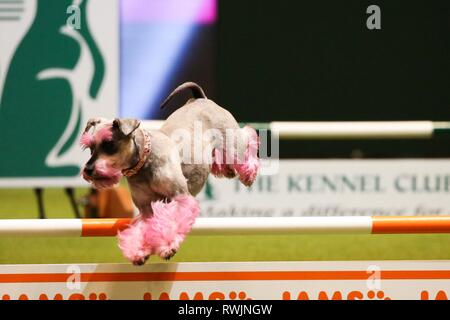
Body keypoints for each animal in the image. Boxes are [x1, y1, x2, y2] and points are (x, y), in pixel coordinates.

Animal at [79, 82, 258, 264]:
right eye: (90, 147)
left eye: (109, 144)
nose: (88, 170)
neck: (144, 161)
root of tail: (201, 98)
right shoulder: (145, 209)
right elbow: (145, 228)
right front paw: (138, 252)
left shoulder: (180, 197)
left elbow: (169, 223)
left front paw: (167, 248)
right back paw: (227, 171)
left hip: (234, 144)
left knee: (248, 137)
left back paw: (248, 175)